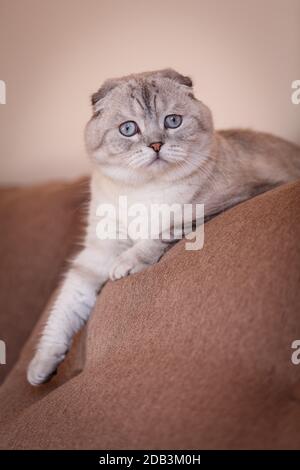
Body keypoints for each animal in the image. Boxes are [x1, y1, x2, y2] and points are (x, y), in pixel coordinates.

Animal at [27, 70, 298, 386]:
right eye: (128, 129)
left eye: (173, 121)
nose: (156, 145)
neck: (142, 191)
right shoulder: (98, 252)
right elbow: (65, 308)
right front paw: (41, 367)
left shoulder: (216, 204)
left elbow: (159, 233)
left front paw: (126, 265)